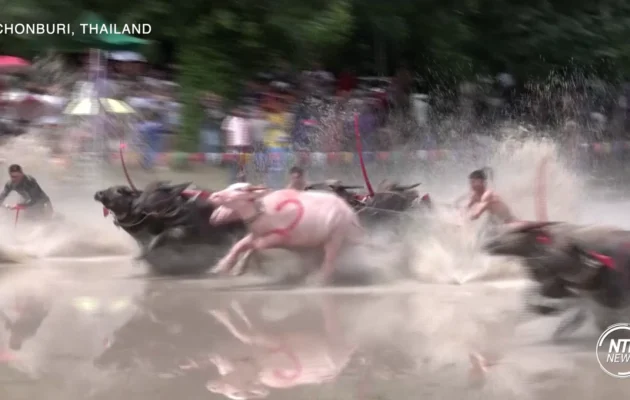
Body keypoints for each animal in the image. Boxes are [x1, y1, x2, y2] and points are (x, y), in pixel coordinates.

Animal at [210, 183, 362, 282]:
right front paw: (223, 267)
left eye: (239, 189)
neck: (262, 211)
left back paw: (317, 279)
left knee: (329, 259)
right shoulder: (256, 233)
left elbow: (257, 245)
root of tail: (351, 214)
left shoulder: (279, 237)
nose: (214, 196)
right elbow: (240, 245)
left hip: (336, 236)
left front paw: (238, 266)